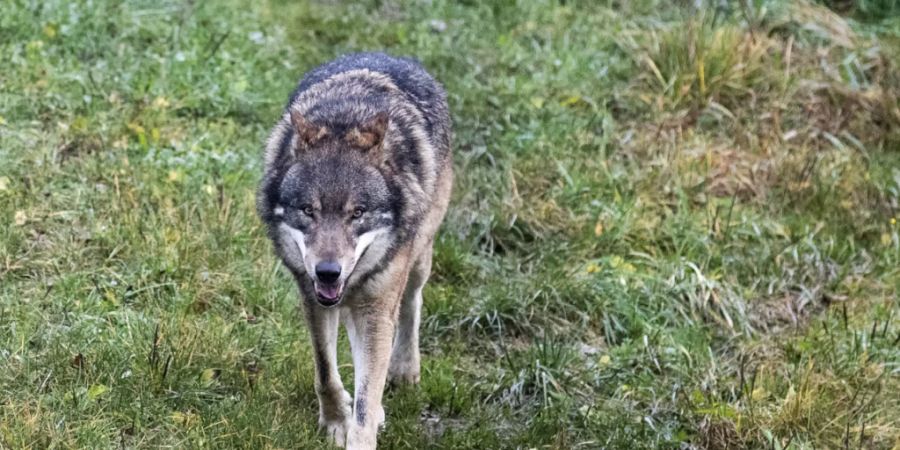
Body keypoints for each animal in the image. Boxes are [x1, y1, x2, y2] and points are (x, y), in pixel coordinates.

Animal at [256, 51, 454, 446]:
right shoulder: (312, 298)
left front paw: (361, 429)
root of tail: (389, 54)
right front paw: (336, 422)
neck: (343, 119)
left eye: (357, 213)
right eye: (308, 211)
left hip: (417, 259)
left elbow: (367, 398)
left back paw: (405, 369)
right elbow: (326, 372)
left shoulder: (376, 308)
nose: (328, 271)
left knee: (411, 303)